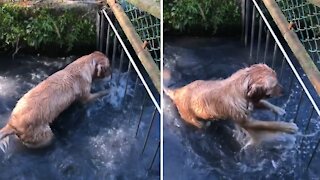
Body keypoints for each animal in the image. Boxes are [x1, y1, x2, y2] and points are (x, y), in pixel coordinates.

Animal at [166, 64, 298, 141]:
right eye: (274, 85)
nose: (284, 90)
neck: (241, 87)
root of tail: (178, 92)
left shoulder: (252, 102)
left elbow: (265, 103)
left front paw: (278, 109)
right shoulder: (246, 122)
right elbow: (269, 124)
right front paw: (288, 127)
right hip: (194, 120)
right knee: (201, 124)